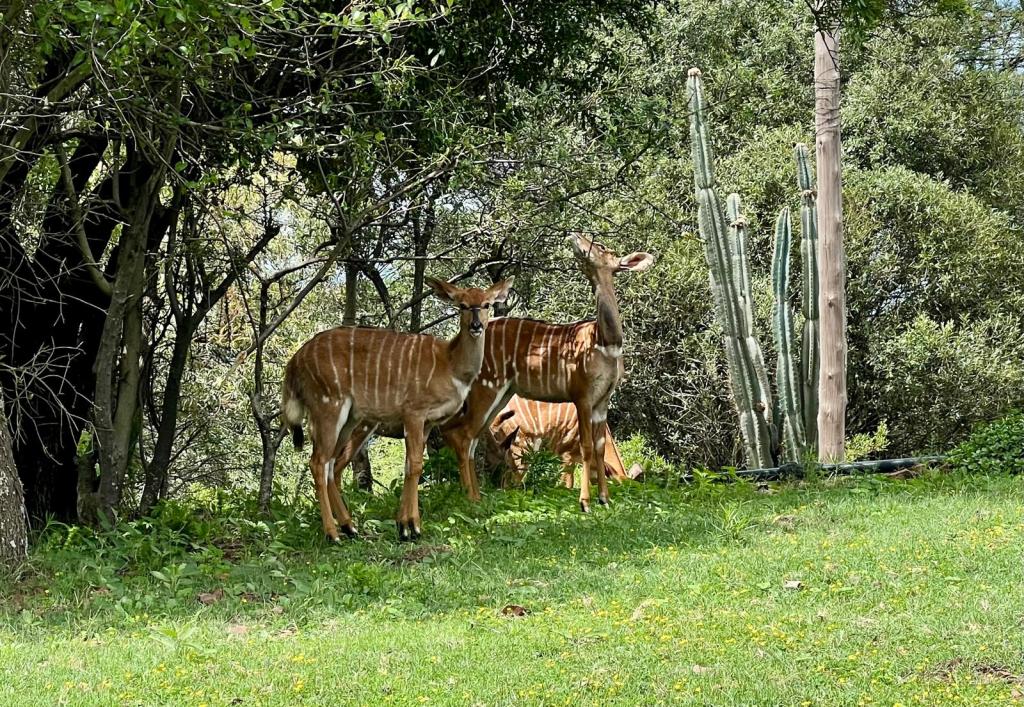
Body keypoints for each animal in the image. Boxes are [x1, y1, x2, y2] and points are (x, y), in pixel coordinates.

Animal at [280, 277, 512, 542]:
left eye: (486, 304)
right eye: (462, 305)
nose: (476, 326)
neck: (449, 363)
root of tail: (294, 361)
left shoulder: (428, 422)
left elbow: (410, 466)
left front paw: (404, 526)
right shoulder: (414, 412)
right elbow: (416, 465)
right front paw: (413, 527)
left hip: (349, 419)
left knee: (330, 463)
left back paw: (350, 527)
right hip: (327, 407)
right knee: (319, 462)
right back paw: (333, 534)